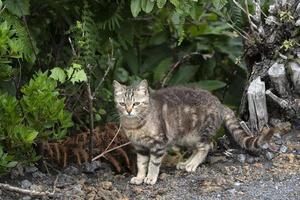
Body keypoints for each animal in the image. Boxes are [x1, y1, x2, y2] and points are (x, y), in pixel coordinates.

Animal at [113, 79, 274, 184]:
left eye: (136, 103)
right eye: (122, 104)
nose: (128, 111)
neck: (135, 125)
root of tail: (220, 104)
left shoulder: (158, 144)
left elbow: (153, 163)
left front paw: (150, 178)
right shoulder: (139, 146)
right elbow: (141, 163)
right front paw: (140, 177)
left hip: (200, 133)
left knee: (206, 147)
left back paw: (192, 165)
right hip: (185, 138)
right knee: (197, 149)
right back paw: (186, 163)